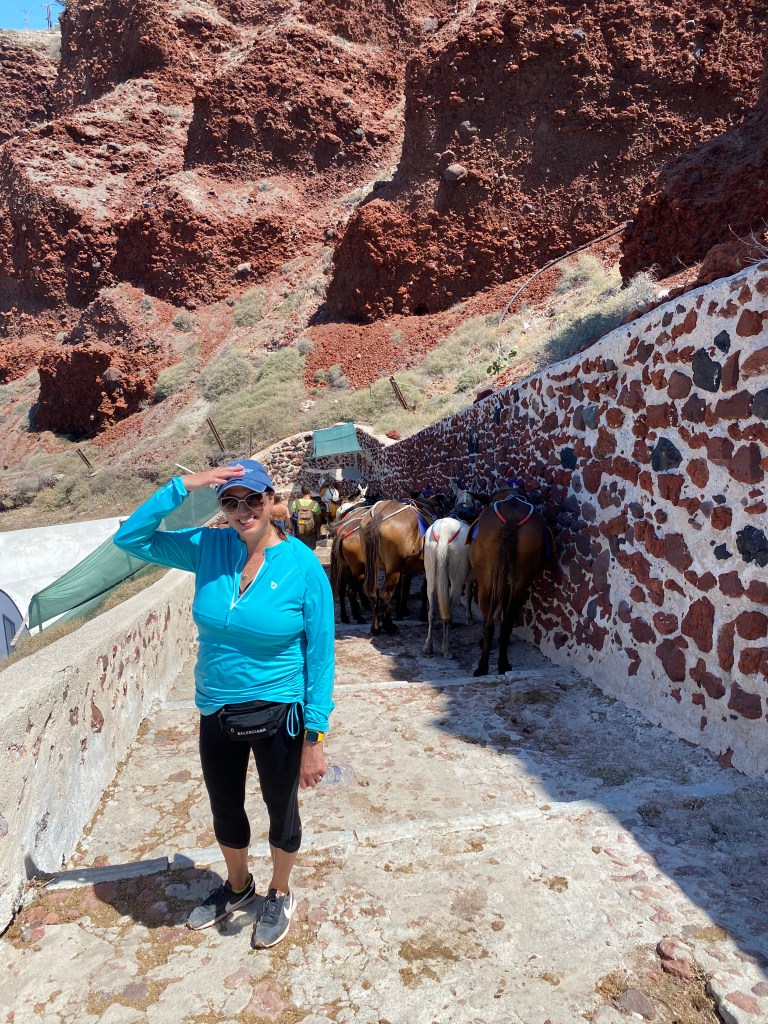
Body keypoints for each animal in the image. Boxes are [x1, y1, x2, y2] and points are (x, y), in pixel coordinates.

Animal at [468, 494, 554, 676]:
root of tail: (512, 518)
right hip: (520, 583)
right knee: (506, 624)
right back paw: (502, 664)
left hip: (486, 583)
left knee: (489, 624)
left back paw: (483, 667)